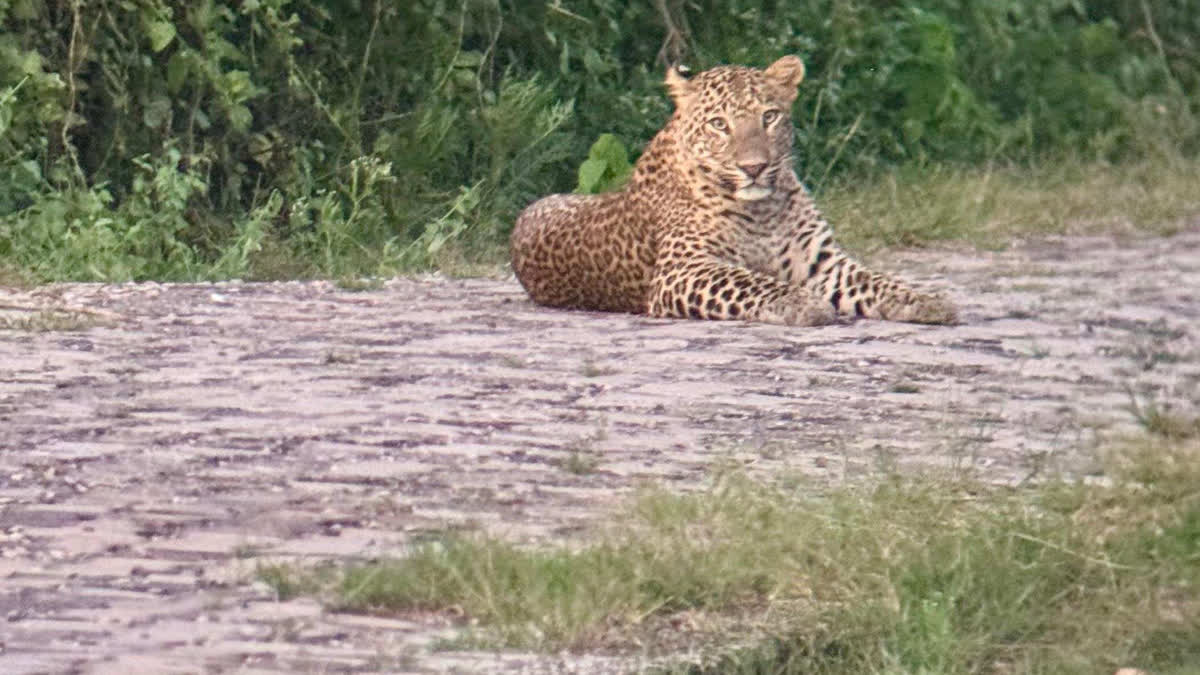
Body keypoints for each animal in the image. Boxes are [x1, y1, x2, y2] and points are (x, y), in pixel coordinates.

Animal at [506, 54, 955, 324]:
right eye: (719, 124)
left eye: (769, 117)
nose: (754, 168)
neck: (763, 210)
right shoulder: (683, 270)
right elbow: (751, 282)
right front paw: (802, 303)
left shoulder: (820, 262)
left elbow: (874, 280)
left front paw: (926, 300)